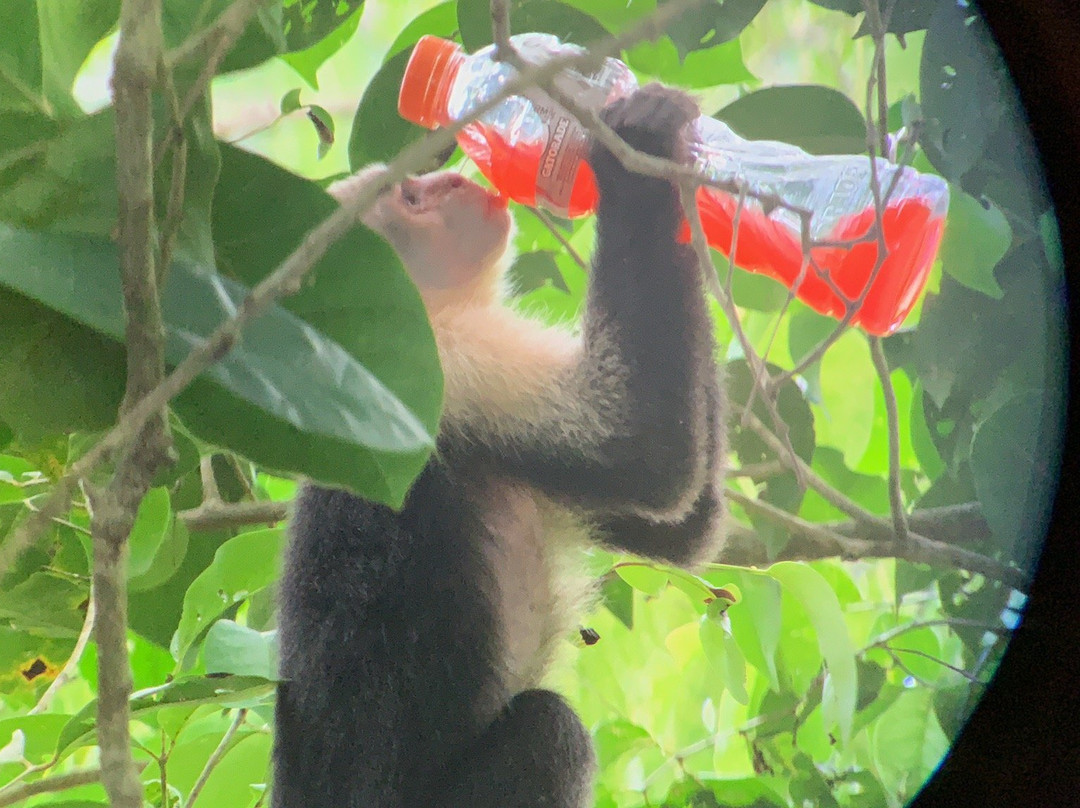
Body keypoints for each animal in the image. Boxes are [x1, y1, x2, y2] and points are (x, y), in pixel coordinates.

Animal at [272, 85, 725, 808]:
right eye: (410, 196)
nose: (457, 178)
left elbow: (686, 529)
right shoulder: (444, 368)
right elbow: (643, 447)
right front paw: (641, 149)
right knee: (550, 732)